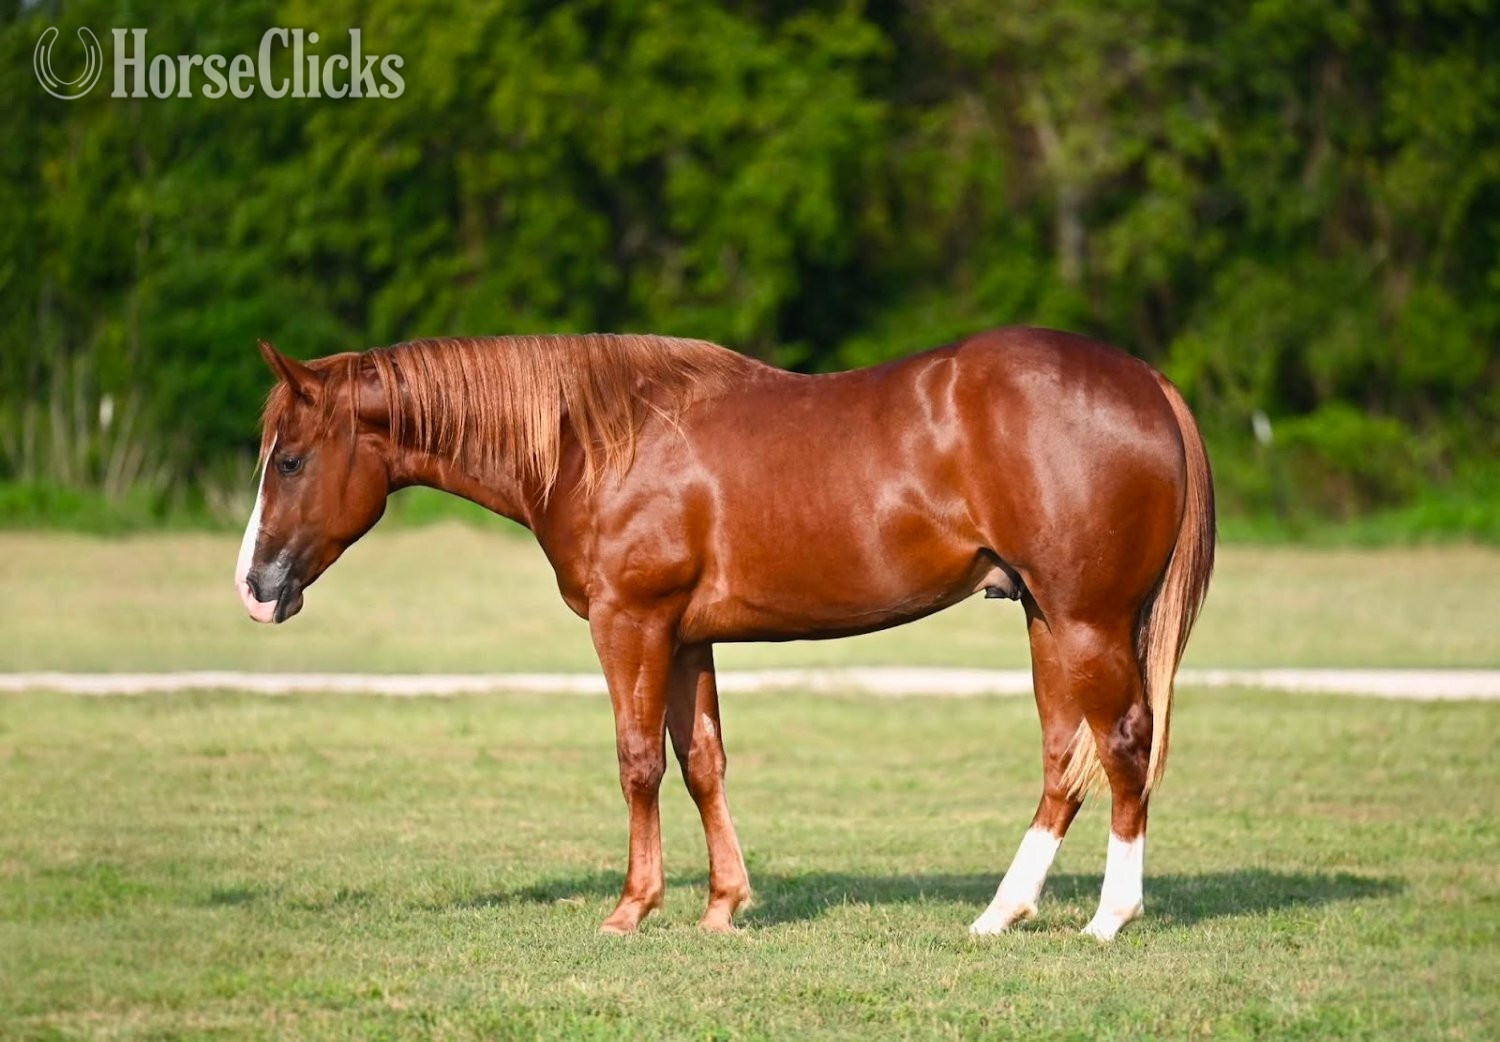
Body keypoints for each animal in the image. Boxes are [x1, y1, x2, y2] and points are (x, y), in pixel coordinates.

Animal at [235, 328, 1214, 939]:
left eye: (291, 460)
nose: (254, 588)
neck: (599, 443)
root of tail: (1146, 382)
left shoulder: (630, 623)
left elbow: (637, 761)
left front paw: (632, 908)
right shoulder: (685, 638)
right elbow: (701, 760)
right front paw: (722, 905)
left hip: (1087, 621)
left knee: (1123, 744)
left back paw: (1109, 918)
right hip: (1047, 621)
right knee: (1064, 759)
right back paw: (1000, 915)